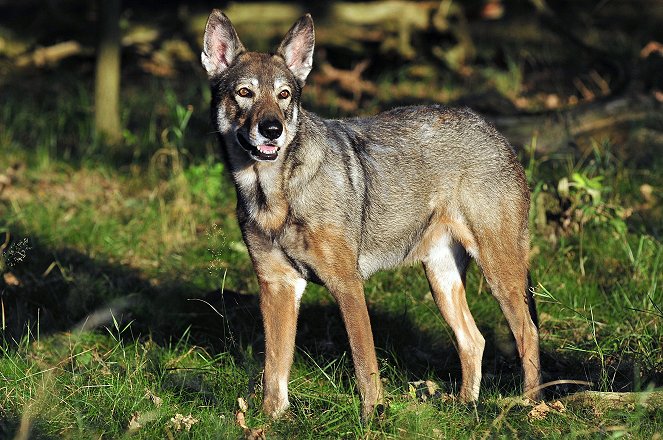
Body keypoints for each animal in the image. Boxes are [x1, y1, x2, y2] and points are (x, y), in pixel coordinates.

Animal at [201, 11, 540, 420]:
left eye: (284, 95)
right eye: (244, 93)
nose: (272, 130)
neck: (274, 194)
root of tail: (492, 129)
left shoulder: (347, 284)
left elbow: (365, 365)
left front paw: (371, 419)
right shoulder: (278, 286)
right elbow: (274, 374)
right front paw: (270, 422)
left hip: (499, 273)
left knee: (528, 334)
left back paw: (531, 407)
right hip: (442, 279)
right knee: (474, 340)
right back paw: (464, 407)